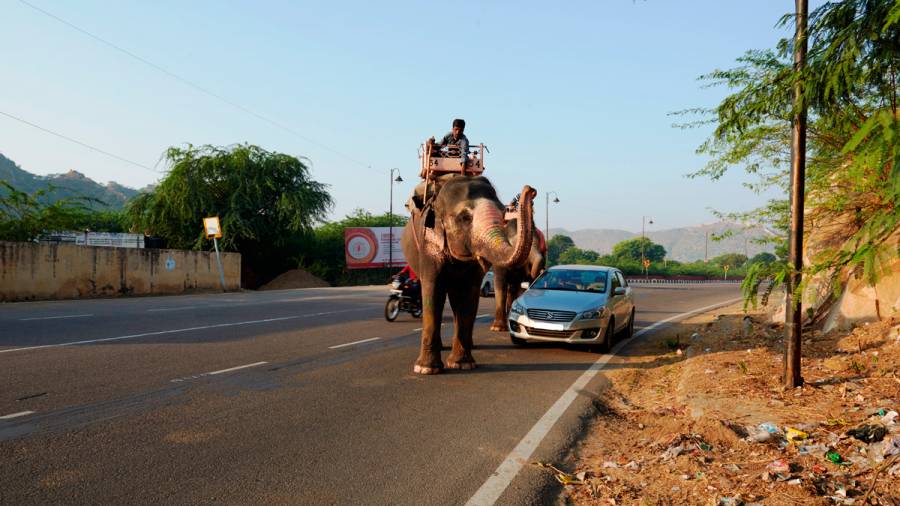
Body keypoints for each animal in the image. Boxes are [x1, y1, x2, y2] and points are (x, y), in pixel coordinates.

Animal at [400, 176, 536, 374]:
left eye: (503, 214)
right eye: (464, 218)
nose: (530, 190)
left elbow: (469, 295)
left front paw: (462, 364)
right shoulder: (429, 245)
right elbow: (432, 292)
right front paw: (426, 369)